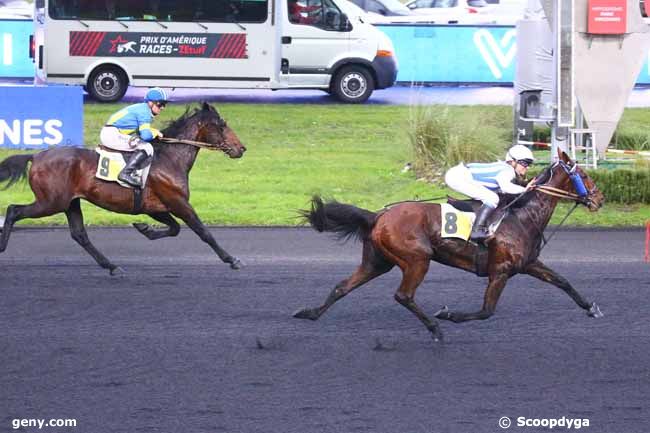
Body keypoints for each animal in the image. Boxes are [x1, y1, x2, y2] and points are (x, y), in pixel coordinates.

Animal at [0, 100, 246, 274]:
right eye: (222, 126)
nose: (241, 148)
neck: (169, 158)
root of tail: (36, 156)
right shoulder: (178, 203)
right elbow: (204, 232)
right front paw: (232, 259)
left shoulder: (155, 207)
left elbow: (174, 229)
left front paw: (144, 229)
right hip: (51, 202)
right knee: (13, 210)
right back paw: (2, 246)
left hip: (70, 202)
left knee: (80, 235)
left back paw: (111, 266)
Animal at [294, 150, 604, 340]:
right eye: (585, 176)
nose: (599, 199)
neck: (520, 215)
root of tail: (378, 216)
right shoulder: (500, 270)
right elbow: (486, 310)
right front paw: (448, 315)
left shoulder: (528, 264)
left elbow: (563, 281)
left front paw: (591, 307)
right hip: (417, 259)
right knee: (403, 295)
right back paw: (435, 329)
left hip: (377, 262)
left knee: (342, 286)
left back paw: (309, 313)